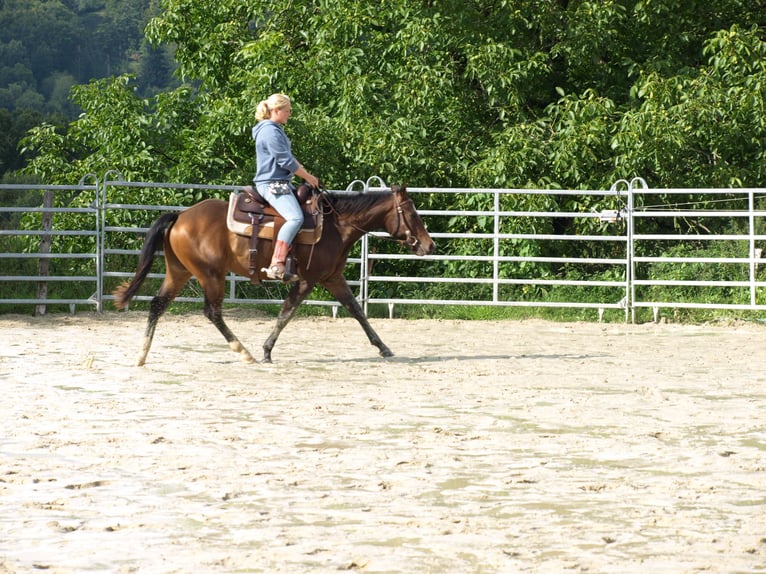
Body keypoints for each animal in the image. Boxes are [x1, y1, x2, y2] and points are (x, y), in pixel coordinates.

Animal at [112, 184, 435, 366]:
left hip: (178, 272)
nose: (429, 245)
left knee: (157, 305)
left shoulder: (333, 278)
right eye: (411, 213)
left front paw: (383, 347)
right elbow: (286, 313)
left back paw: (141, 356)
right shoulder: (308, 280)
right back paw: (244, 353)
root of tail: (180, 216)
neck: (336, 225)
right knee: (212, 312)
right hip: (211, 275)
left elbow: (356, 310)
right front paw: (267, 350)